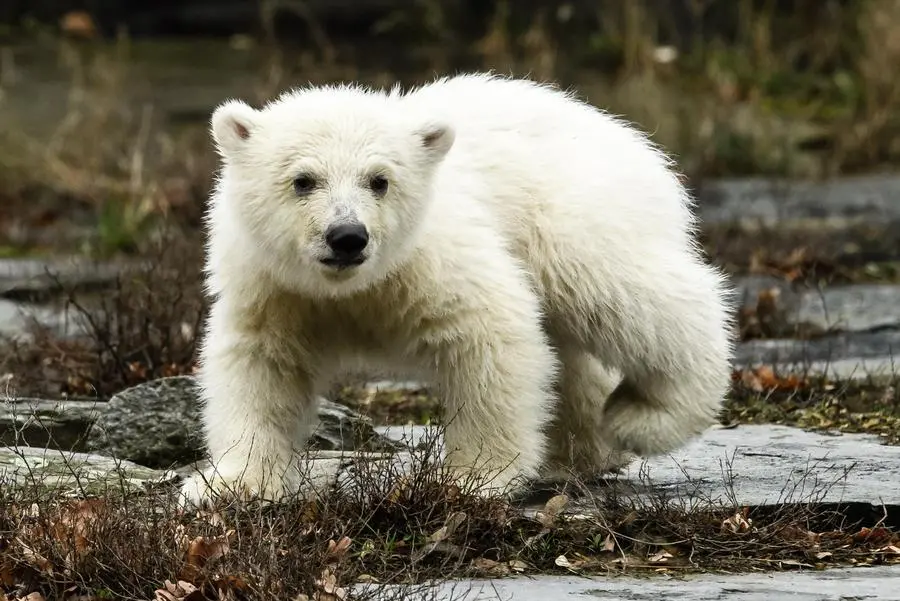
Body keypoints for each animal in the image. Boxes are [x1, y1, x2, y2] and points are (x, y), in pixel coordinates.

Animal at [179, 72, 735, 507]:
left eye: (379, 180)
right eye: (303, 180)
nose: (347, 237)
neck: (355, 287)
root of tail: (629, 136)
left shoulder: (433, 257)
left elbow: (490, 331)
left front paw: (473, 479)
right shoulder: (275, 287)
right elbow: (262, 366)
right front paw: (229, 484)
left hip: (569, 214)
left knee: (625, 294)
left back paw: (647, 416)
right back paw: (576, 456)